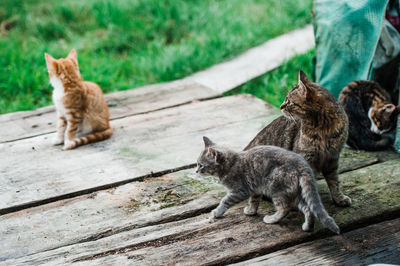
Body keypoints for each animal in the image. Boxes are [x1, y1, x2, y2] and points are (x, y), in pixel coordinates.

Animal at [195, 136, 340, 234]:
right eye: (197, 164)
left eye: (201, 165)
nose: (196, 171)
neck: (231, 164)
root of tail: (303, 166)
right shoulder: (255, 189)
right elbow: (254, 201)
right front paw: (251, 211)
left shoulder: (239, 190)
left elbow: (225, 201)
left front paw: (216, 212)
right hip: (295, 192)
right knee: (308, 209)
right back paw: (307, 226)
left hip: (276, 188)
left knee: (284, 208)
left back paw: (271, 219)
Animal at [245, 71, 352, 208]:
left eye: (289, 101)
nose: (280, 106)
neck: (322, 128)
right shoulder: (305, 160)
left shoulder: (332, 159)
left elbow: (334, 182)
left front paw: (339, 198)